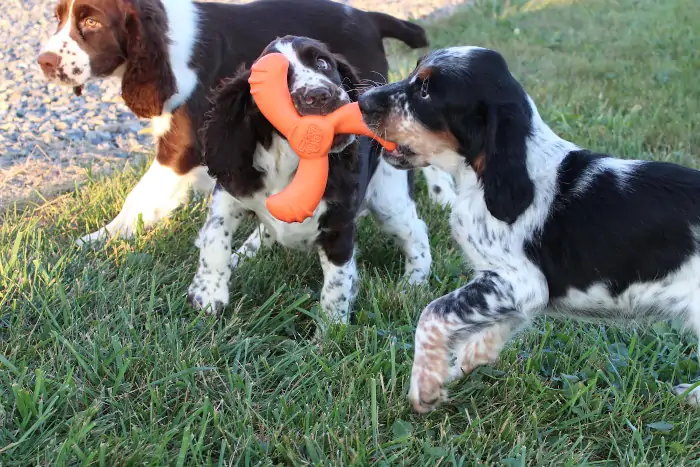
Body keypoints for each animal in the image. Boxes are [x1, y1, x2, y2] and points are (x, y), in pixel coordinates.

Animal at [37, 0, 454, 247]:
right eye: (57, 17)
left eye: (92, 21)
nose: (43, 61)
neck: (165, 40)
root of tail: (367, 16)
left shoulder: (183, 145)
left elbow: (140, 195)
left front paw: (98, 238)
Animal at [186, 36, 432, 324]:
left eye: (322, 63)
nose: (319, 95)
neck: (288, 164)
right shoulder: (231, 187)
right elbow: (214, 237)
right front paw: (207, 294)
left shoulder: (338, 225)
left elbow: (337, 283)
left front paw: (332, 328)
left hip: (389, 198)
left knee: (417, 233)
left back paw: (413, 283)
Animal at [358, 46, 700, 414]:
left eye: (425, 91)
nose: (361, 101)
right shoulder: (513, 292)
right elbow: (484, 335)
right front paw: (456, 367)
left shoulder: (519, 281)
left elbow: (433, 313)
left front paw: (425, 386)